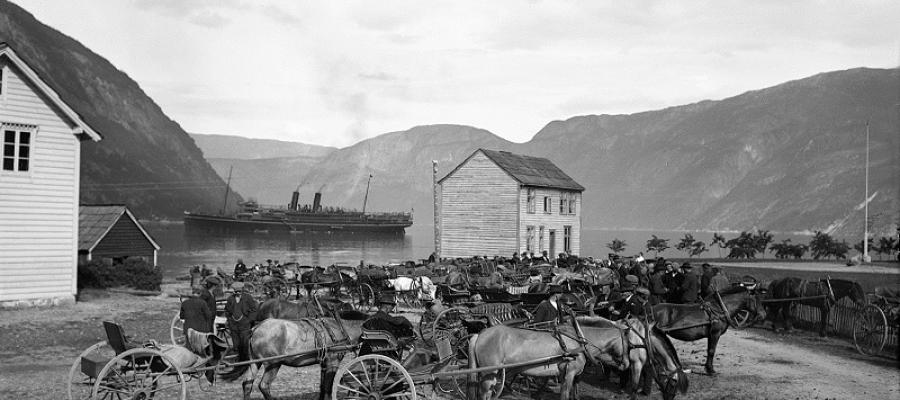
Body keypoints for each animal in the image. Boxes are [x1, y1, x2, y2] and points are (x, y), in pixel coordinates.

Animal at [218, 310, 370, 400]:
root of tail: (256, 328)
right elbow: (328, 385)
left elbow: (322, 385)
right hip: (274, 363)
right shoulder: (333, 362)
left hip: (255, 362)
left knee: (247, 383)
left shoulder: (324, 363)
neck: (340, 327)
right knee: (264, 385)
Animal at [468, 316, 684, 400]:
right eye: (629, 342)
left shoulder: (573, 375)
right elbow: (565, 395)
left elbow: (574, 394)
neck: (580, 340)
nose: (625, 364)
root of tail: (480, 334)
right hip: (489, 374)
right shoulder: (569, 372)